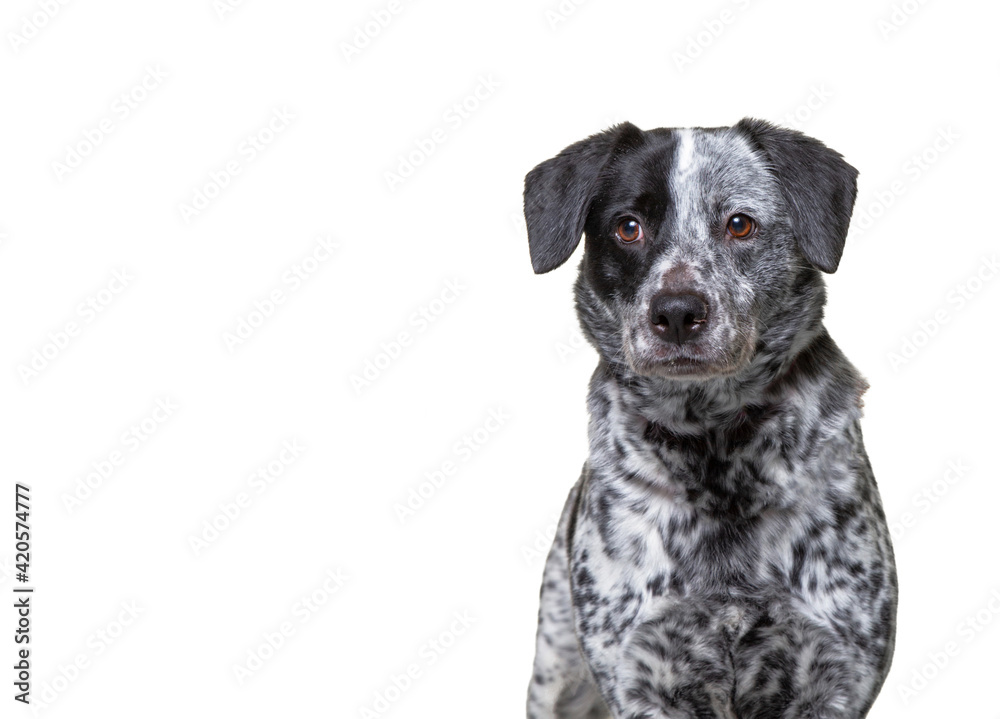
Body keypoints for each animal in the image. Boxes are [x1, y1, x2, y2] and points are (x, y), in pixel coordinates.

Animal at [524, 118, 900, 719]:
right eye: (627, 227)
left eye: (739, 224)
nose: (677, 311)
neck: (713, 441)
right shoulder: (640, 679)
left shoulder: (838, 677)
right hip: (556, 675)